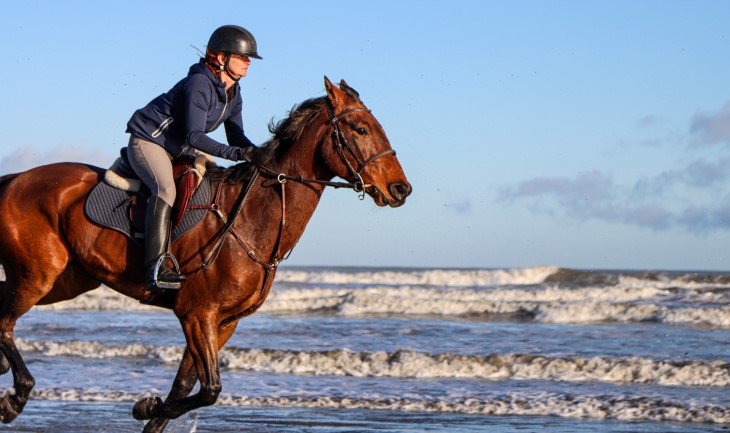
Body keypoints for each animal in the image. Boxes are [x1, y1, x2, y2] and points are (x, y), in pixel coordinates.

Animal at [0, 77, 411, 432]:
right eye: (360, 129)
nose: (400, 189)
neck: (251, 217)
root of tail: (15, 178)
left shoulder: (224, 322)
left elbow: (183, 388)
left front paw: (150, 409)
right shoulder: (198, 314)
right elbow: (210, 389)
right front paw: (146, 406)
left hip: (65, 281)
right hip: (38, 276)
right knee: (5, 323)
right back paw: (15, 398)